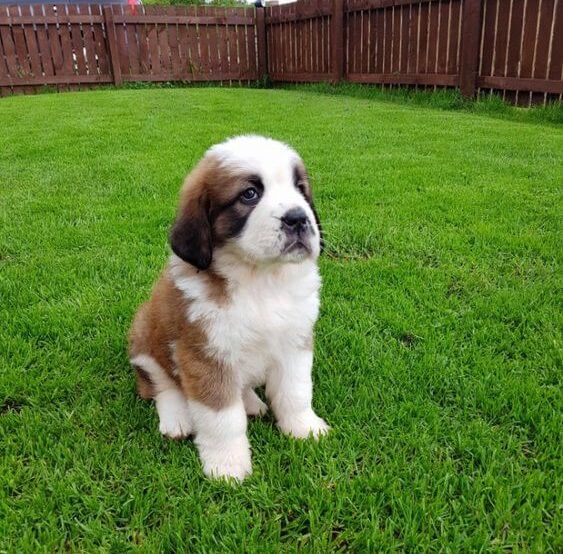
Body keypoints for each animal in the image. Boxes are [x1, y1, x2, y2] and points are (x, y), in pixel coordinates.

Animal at [128, 135, 328, 478]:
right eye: (249, 194)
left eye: (300, 188)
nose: (298, 218)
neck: (261, 280)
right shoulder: (206, 356)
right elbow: (222, 418)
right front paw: (227, 464)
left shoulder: (295, 341)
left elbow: (296, 391)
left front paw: (304, 427)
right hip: (145, 335)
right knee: (161, 385)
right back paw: (176, 418)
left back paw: (251, 401)